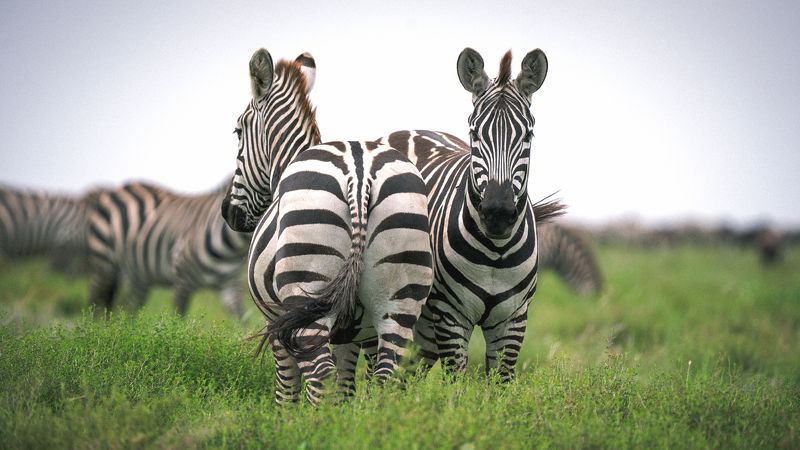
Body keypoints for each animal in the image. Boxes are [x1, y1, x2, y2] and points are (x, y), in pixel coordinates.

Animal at [87, 179, 251, 319]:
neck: (231, 250)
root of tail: (119, 187)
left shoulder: (231, 284)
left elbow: (243, 320)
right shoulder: (182, 281)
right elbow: (178, 319)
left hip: (139, 276)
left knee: (129, 309)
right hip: (104, 263)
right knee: (95, 300)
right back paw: (96, 329)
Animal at [220, 49, 433, 404]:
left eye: (237, 131)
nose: (228, 212)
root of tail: (360, 174)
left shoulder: (275, 320)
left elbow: (287, 389)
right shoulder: (354, 334)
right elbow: (346, 387)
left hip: (307, 296)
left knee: (319, 379)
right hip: (400, 300)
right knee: (385, 377)